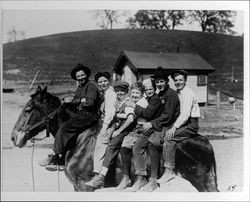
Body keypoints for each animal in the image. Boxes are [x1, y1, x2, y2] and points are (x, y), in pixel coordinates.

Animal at [10, 86, 218, 192]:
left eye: (28, 109)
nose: (13, 136)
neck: (79, 140)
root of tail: (203, 141)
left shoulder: (83, 186)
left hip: (204, 182)